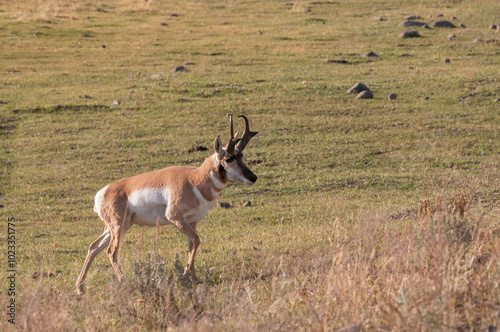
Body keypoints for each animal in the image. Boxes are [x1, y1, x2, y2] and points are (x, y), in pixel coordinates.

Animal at [78, 115, 260, 294]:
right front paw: (188, 275)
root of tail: (103, 192)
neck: (195, 179)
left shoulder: (192, 220)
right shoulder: (176, 218)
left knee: (94, 247)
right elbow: (196, 240)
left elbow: (191, 244)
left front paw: (192, 276)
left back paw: (80, 288)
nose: (253, 177)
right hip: (118, 226)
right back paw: (124, 282)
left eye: (241, 157)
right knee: (111, 251)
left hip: (118, 226)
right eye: (228, 159)